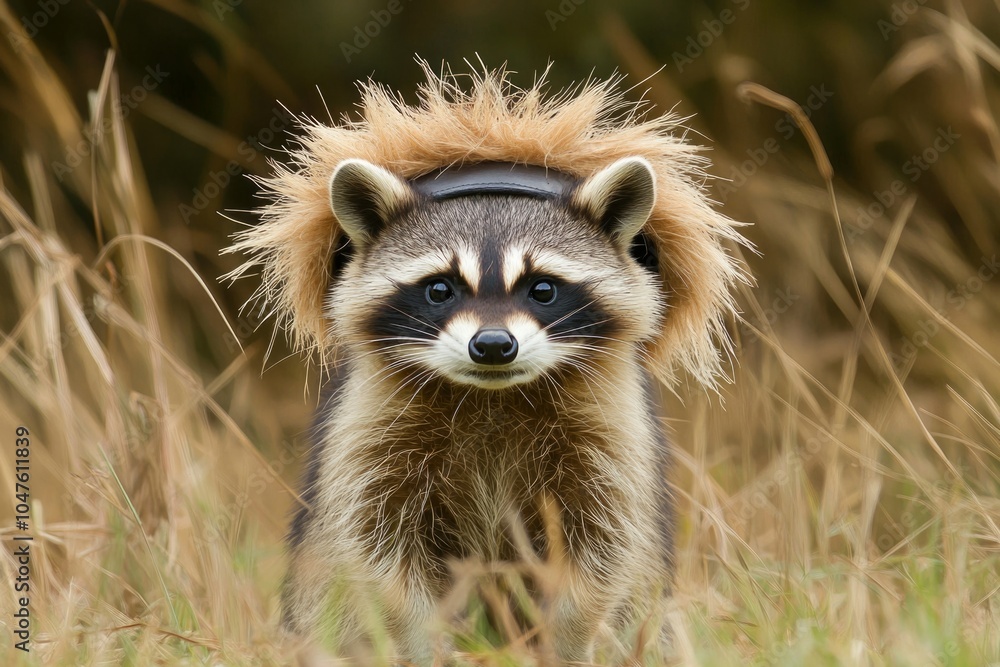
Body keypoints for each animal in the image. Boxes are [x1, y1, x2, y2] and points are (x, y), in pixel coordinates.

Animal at [225, 63, 748, 664]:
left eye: (542, 289)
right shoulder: (369, 434)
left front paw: (564, 641)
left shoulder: (611, 437)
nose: (494, 345)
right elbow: (378, 553)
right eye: (440, 289)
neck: (492, 396)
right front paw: (430, 642)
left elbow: (603, 552)